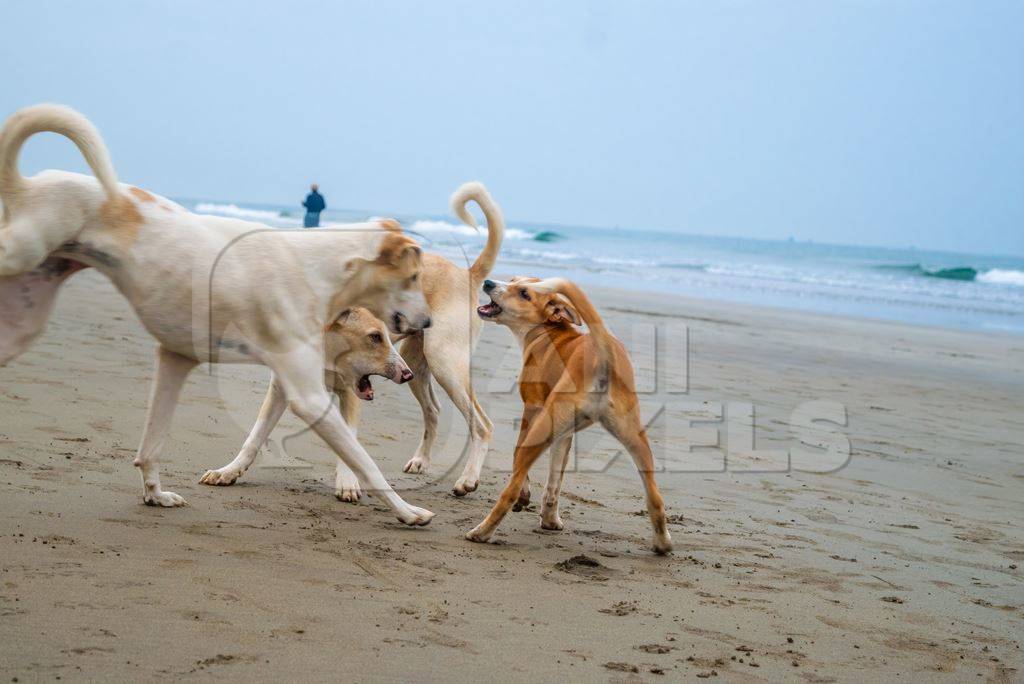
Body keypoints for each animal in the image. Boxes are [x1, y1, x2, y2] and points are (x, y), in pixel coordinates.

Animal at [0, 105, 436, 524]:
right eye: (414, 275)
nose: (428, 324)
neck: (314, 267)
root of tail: (31, 184)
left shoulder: (175, 360)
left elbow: (150, 447)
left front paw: (156, 495)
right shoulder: (308, 399)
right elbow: (366, 462)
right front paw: (408, 511)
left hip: (20, 326)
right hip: (16, 257)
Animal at [464, 278, 671, 557]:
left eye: (524, 293)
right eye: (514, 279)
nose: (488, 282)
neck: (546, 332)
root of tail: (603, 356)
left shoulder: (533, 410)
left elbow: (518, 457)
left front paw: (526, 497)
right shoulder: (564, 432)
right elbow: (555, 478)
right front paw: (550, 520)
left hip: (542, 427)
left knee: (510, 489)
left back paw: (482, 532)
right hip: (636, 439)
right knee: (655, 498)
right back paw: (663, 543)